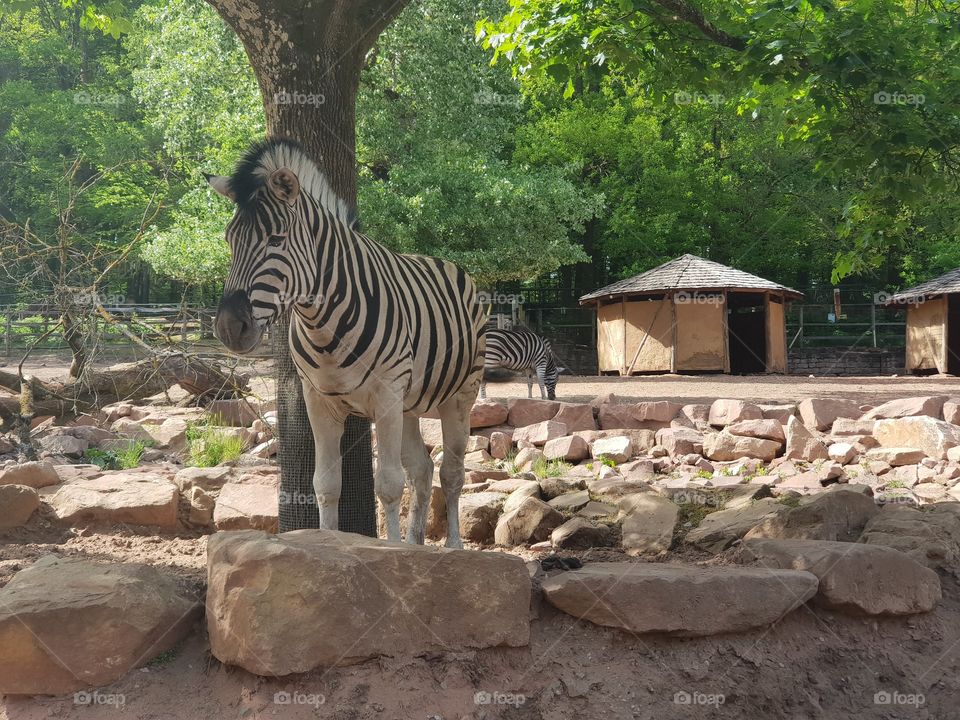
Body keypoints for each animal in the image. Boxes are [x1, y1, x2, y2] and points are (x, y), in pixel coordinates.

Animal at [208, 138, 487, 548]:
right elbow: (325, 485)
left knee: (451, 472)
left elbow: (388, 484)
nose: (229, 328)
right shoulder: (318, 400)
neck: (324, 324)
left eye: (276, 240)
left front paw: (393, 552)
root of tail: (445, 263)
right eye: (229, 241)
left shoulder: (386, 394)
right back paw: (417, 544)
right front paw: (333, 545)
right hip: (408, 403)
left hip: (459, 394)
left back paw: (452, 547)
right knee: (422, 469)